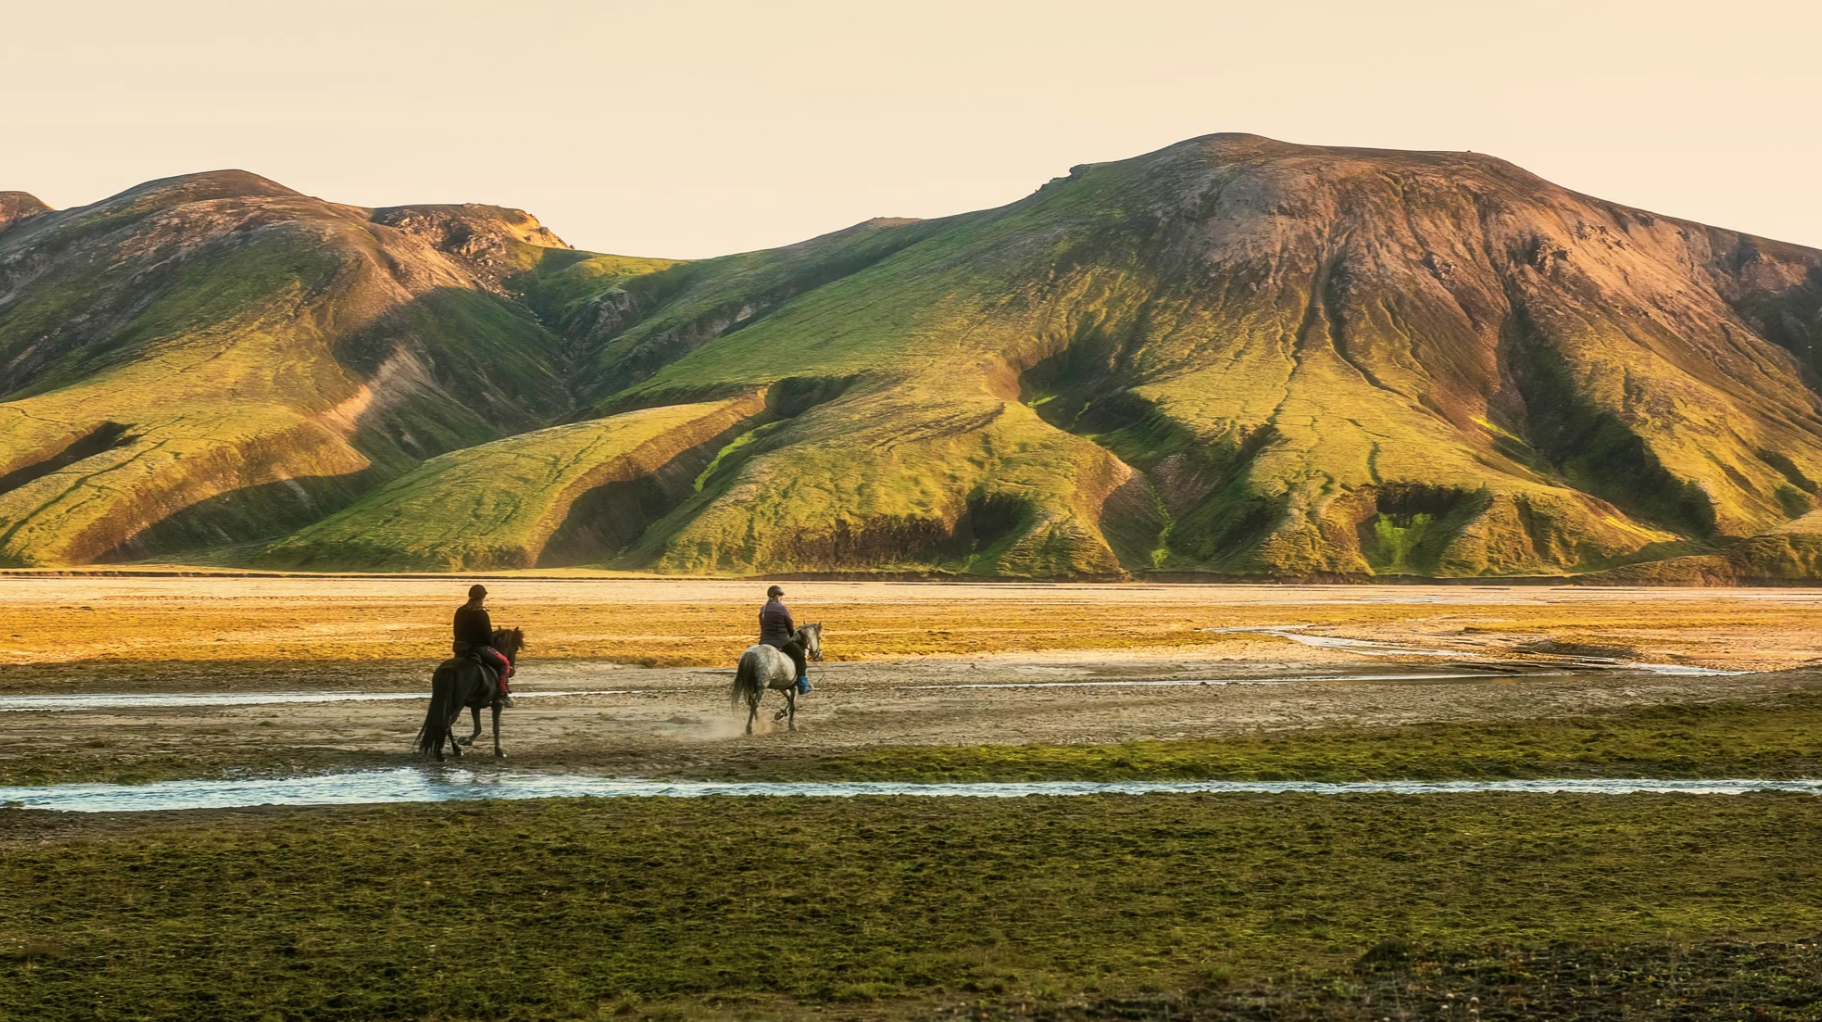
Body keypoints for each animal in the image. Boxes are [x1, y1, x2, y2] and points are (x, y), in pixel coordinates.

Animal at [415, 626, 524, 761]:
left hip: (447, 703)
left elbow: (478, 727)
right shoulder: (497, 704)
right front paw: (499, 751)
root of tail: (450, 669)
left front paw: (466, 740)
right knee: (446, 724)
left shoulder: (475, 705)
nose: (512, 671)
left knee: (445, 724)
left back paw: (456, 749)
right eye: (516, 648)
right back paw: (442, 753)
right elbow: (495, 728)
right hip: (458, 705)